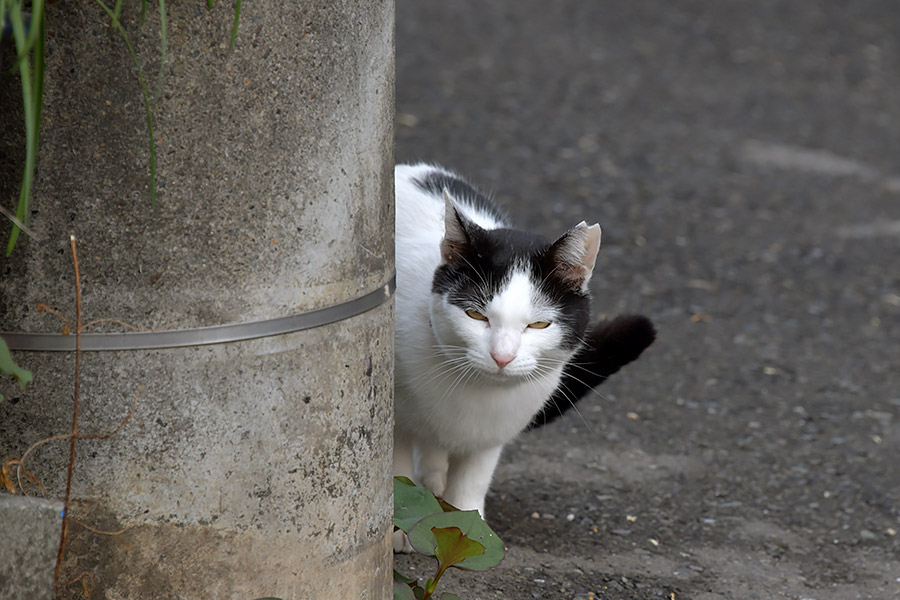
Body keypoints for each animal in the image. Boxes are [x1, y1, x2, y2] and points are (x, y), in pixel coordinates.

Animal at [390, 163, 652, 548]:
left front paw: (468, 532)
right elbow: (397, 471)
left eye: (539, 324)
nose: (502, 357)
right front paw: (398, 528)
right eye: (476, 315)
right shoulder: (395, 422)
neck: (476, 394)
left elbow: (472, 482)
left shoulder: (492, 434)